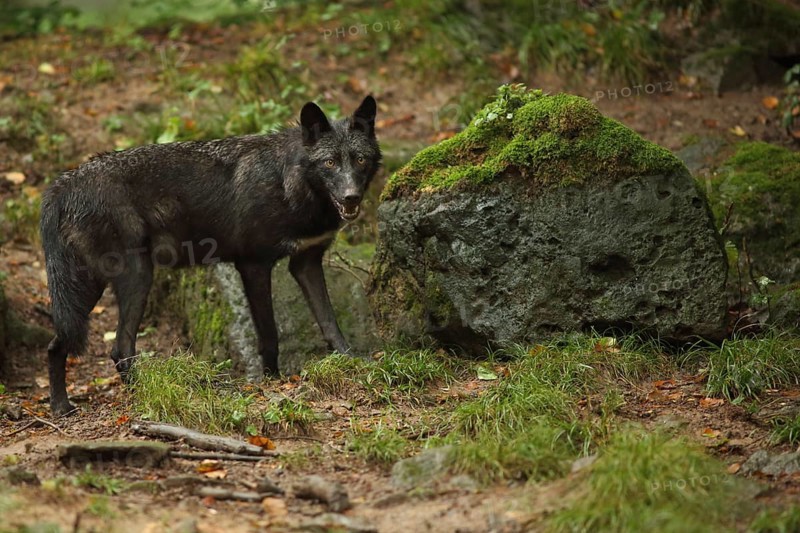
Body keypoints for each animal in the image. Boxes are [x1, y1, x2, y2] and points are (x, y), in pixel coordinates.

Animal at [40, 96, 381, 416]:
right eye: (330, 163)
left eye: (360, 160)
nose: (351, 197)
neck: (290, 184)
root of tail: (62, 184)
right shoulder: (254, 265)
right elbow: (269, 335)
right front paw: (272, 380)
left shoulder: (306, 262)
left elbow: (329, 322)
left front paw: (350, 360)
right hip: (132, 278)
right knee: (118, 348)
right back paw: (142, 396)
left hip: (92, 286)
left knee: (60, 345)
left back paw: (62, 406)